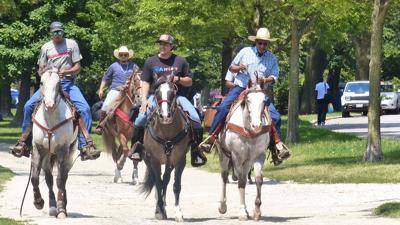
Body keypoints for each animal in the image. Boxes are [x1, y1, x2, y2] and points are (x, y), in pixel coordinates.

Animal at [30, 69, 77, 218]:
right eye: (41, 82)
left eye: (58, 84)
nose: (49, 105)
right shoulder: (38, 149)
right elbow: (35, 177)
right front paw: (38, 202)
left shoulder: (63, 150)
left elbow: (60, 180)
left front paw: (61, 209)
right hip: (47, 156)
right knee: (49, 179)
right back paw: (51, 207)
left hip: (70, 154)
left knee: (63, 178)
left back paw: (62, 206)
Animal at [140, 75, 191, 221]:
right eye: (157, 93)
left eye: (172, 93)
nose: (164, 116)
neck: (167, 132)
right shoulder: (154, 160)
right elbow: (158, 183)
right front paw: (159, 210)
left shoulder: (180, 160)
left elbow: (176, 185)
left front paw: (178, 212)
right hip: (148, 160)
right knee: (159, 181)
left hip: (170, 162)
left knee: (166, 179)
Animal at [217, 85, 270, 221]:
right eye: (248, 100)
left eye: (264, 101)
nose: (257, 125)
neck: (248, 130)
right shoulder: (237, 156)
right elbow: (241, 182)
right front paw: (242, 212)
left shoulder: (256, 156)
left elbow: (258, 179)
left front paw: (256, 211)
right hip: (223, 154)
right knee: (224, 176)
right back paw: (222, 206)